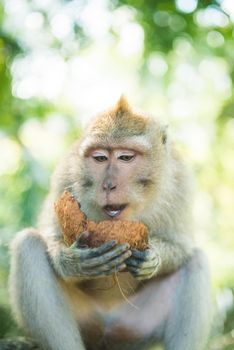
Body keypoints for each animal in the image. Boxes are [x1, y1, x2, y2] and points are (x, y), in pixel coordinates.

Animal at [9, 97, 211, 350]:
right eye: (100, 158)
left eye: (125, 157)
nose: (108, 185)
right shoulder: (66, 174)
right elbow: (52, 235)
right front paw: (73, 263)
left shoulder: (180, 180)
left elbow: (181, 245)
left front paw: (151, 258)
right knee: (27, 245)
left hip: (136, 325)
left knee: (196, 261)